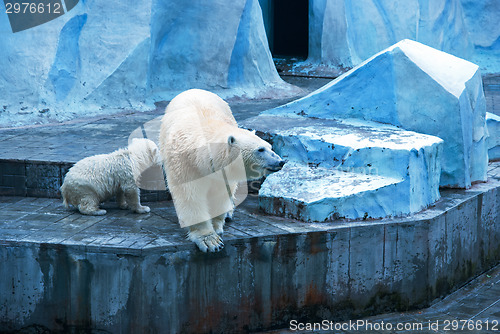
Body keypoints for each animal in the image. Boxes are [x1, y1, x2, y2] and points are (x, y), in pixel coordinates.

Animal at [161, 88, 286, 250]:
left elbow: (221, 193)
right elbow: (190, 195)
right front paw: (209, 240)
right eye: (260, 149)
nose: (280, 161)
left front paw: (216, 227)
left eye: (270, 147)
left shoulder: (222, 173)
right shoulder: (185, 164)